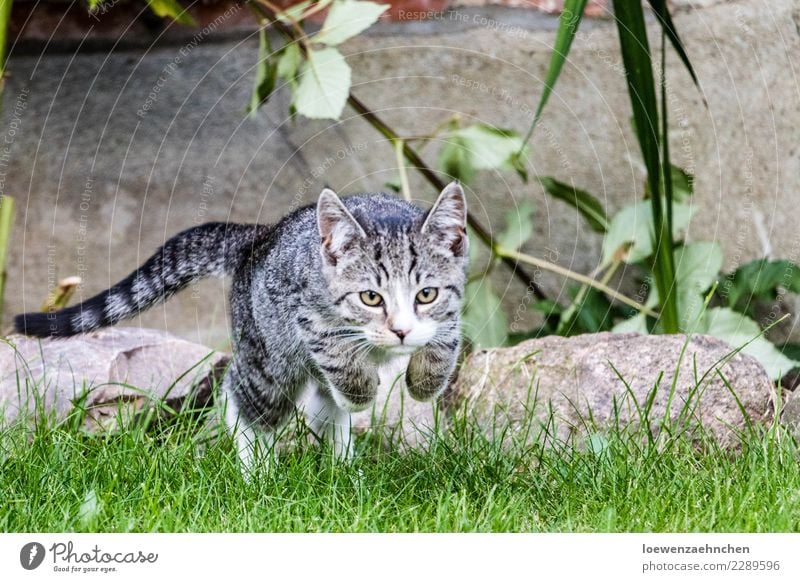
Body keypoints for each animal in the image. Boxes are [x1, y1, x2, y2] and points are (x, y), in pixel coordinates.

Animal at [14, 185, 468, 472]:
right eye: (371, 298)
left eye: (426, 294)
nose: (401, 332)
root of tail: (258, 236)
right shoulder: (308, 315)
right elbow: (338, 354)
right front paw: (363, 388)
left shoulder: (451, 310)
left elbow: (444, 340)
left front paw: (425, 379)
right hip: (268, 353)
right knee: (243, 393)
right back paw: (257, 474)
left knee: (324, 407)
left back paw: (342, 470)